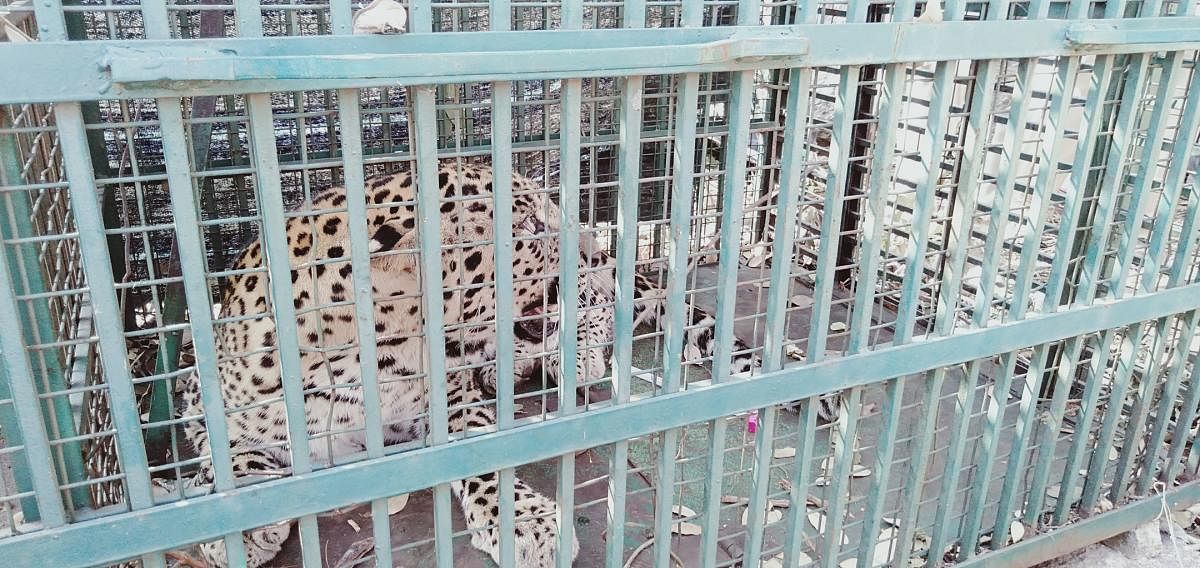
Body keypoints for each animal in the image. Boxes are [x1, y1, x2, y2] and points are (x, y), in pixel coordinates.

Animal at [172, 162, 763, 564]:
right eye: (529, 225)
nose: (596, 251)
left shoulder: (447, 400)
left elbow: (478, 449)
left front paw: (528, 522)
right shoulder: (198, 404)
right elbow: (232, 459)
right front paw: (239, 530)